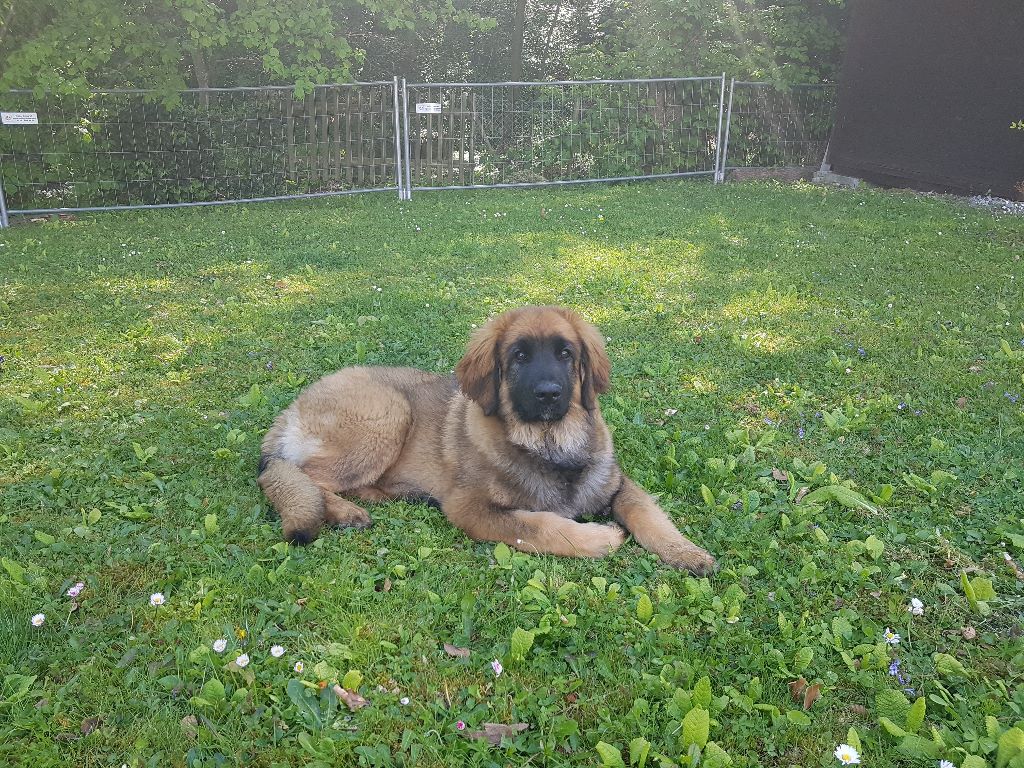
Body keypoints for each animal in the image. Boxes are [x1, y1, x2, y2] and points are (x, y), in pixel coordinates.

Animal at [258, 306, 715, 574]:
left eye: (566, 354)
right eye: (519, 356)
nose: (549, 393)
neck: (549, 443)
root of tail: (292, 408)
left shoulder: (616, 484)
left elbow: (649, 515)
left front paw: (686, 552)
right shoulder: (472, 508)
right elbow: (541, 526)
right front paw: (600, 539)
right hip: (389, 414)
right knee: (292, 474)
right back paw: (343, 511)